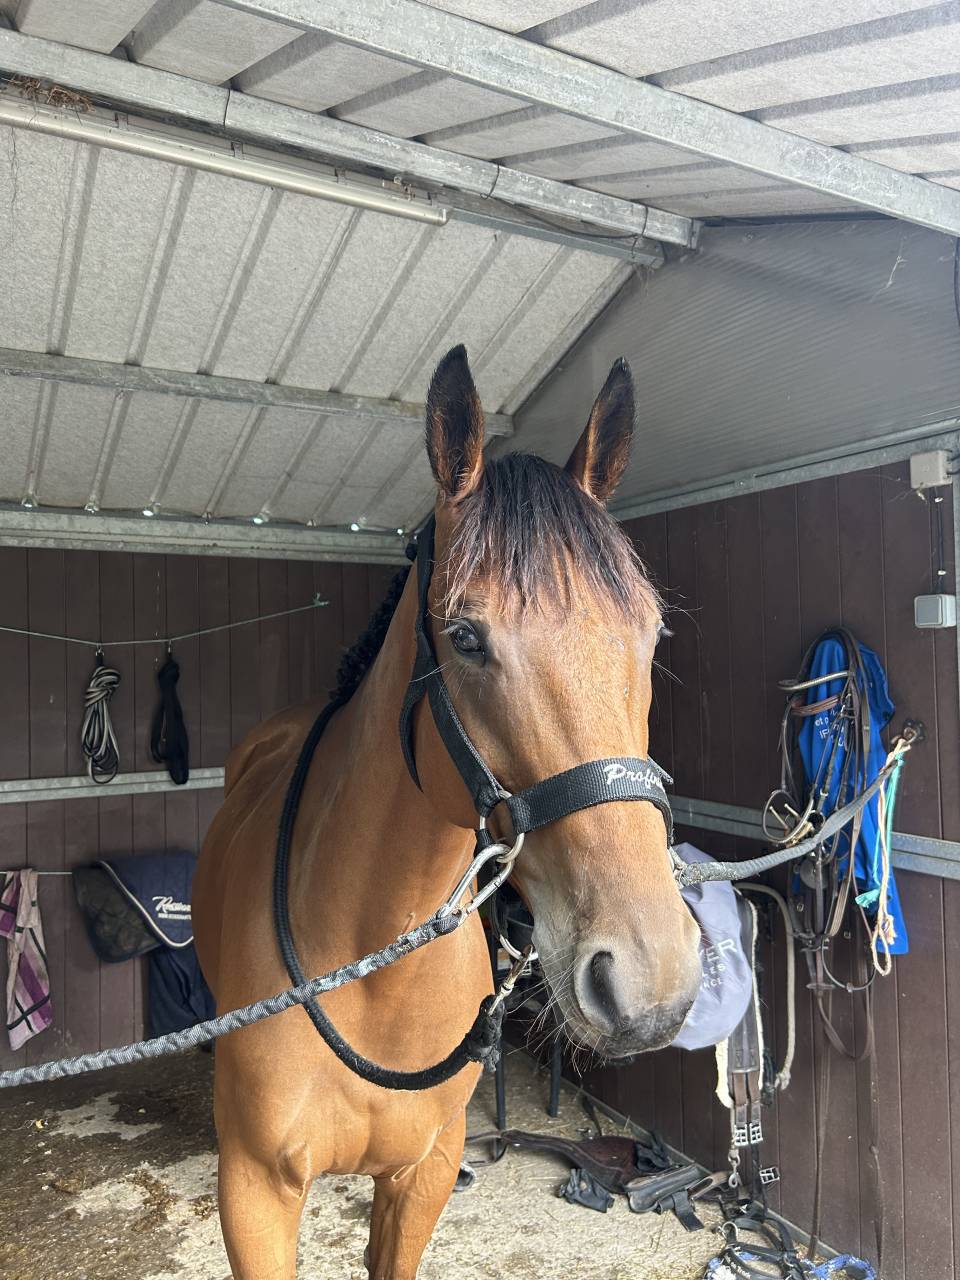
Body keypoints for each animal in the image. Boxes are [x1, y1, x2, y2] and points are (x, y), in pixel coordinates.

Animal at [192, 345, 702, 1280]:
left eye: (652, 635)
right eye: (465, 637)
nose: (652, 980)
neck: (372, 973)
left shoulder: (425, 1171)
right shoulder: (252, 1195)